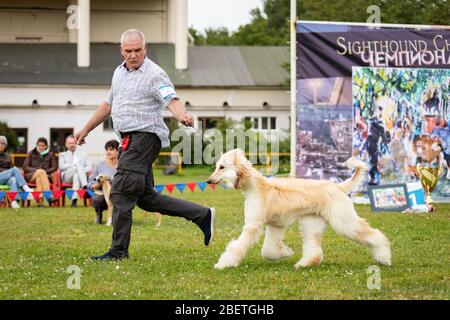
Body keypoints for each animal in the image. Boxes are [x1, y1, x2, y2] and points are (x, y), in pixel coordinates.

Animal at [207, 149, 390, 268]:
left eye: (222, 167)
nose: (208, 181)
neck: (256, 187)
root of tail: (339, 187)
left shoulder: (253, 224)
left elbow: (239, 245)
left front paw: (224, 263)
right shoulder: (275, 224)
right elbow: (269, 250)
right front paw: (286, 252)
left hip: (343, 220)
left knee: (374, 235)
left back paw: (384, 257)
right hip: (311, 222)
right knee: (314, 249)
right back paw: (304, 263)